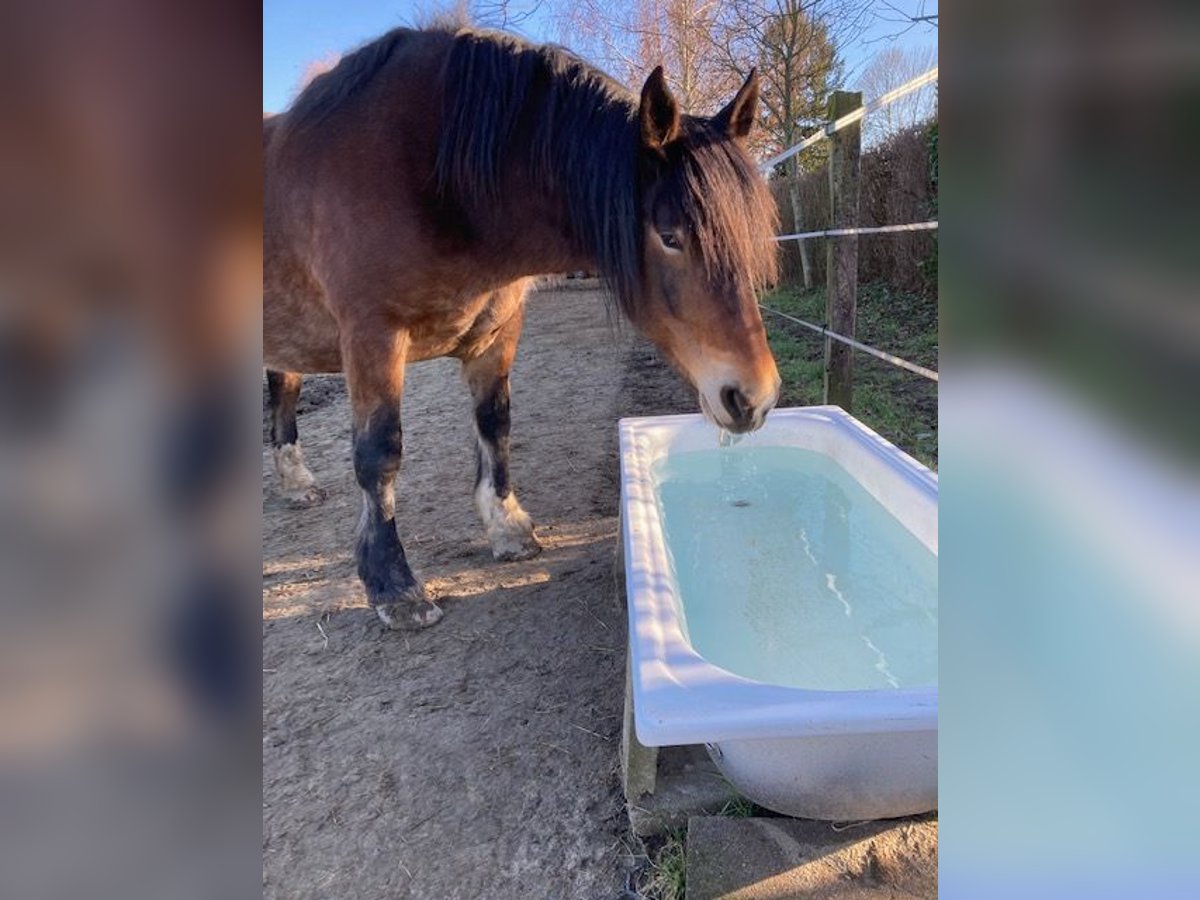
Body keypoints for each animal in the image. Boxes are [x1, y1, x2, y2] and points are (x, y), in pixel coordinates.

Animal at [265, 30, 777, 633]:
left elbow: (496, 426)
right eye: (670, 236)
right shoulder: (372, 338)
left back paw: (297, 485)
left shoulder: (496, 337)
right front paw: (394, 586)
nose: (754, 398)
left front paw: (508, 528)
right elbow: (379, 455)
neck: (434, 176)